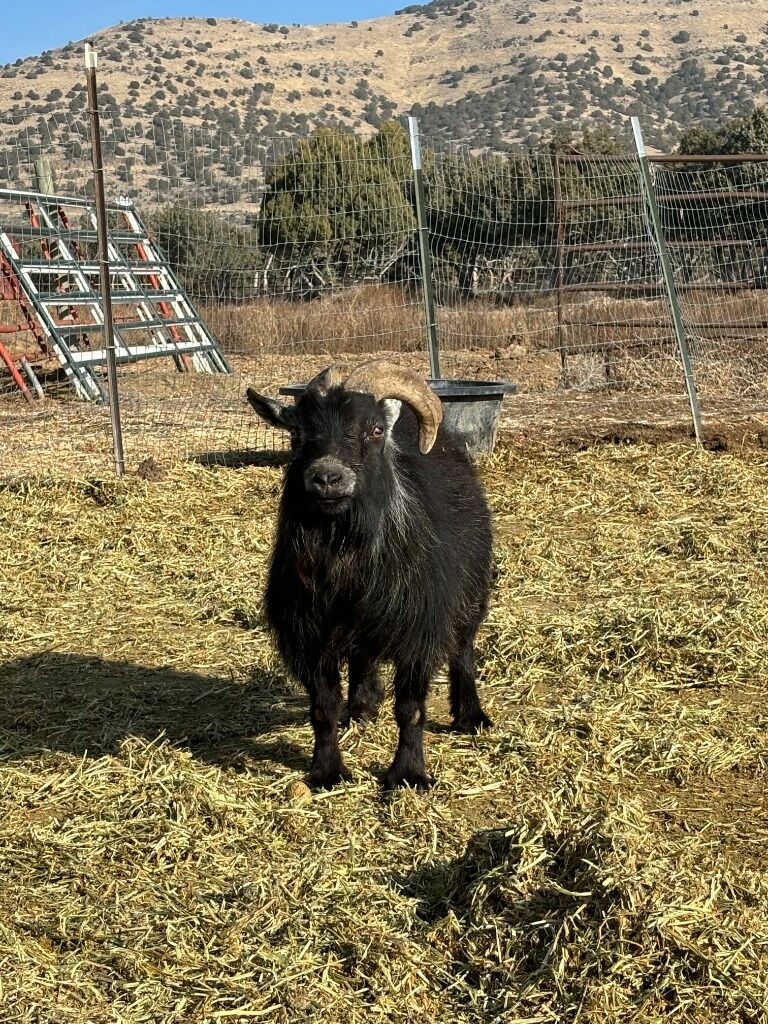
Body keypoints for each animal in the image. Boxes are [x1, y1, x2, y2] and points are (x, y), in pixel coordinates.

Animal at [246, 360, 493, 792]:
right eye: (296, 433)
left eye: (375, 429)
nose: (327, 478)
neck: (347, 556)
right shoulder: (311, 635)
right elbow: (323, 708)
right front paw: (326, 772)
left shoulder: (419, 629)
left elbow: (411, 708)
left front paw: (409, 774)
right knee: (363, 656)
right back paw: (361, 707)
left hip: (471, 592)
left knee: (463, 651)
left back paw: (471, 717)